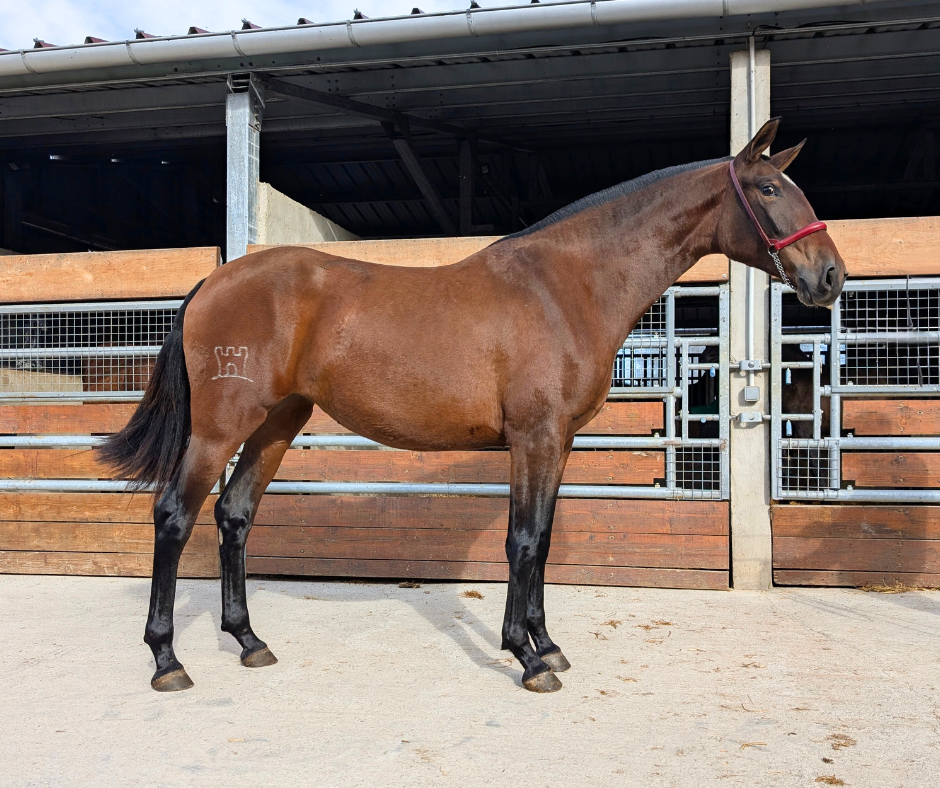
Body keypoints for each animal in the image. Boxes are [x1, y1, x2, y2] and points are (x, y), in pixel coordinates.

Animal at [98, 117, 846, 694]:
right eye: (770, 187)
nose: (831, 276)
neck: (567, 285)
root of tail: (213, 283)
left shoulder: (556, 442)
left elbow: (541, 540)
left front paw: (547, 646)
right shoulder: (534, 437)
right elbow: (522, 541)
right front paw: (527, 659)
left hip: (278, 423)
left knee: (234, 514)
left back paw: (249, 641)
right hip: (220, 428)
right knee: (173, 516)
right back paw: (167, 660)